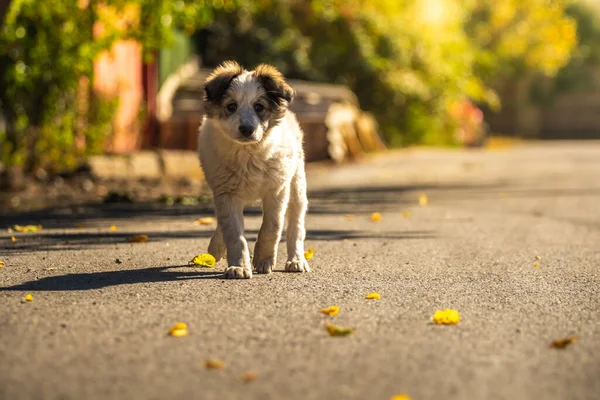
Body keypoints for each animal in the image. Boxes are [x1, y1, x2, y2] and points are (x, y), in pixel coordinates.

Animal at [198, 61, 310, 278]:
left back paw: (296, 260)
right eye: (231, 106)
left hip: (297, 186)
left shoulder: (277, 189)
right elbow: (234, 233)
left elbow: (272, 227)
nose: (247, 129)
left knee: (296, 226)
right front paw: (239, 266)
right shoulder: (226, 193)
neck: (248, 153)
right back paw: (216, 248)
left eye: (259, 107)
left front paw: (264, 260)